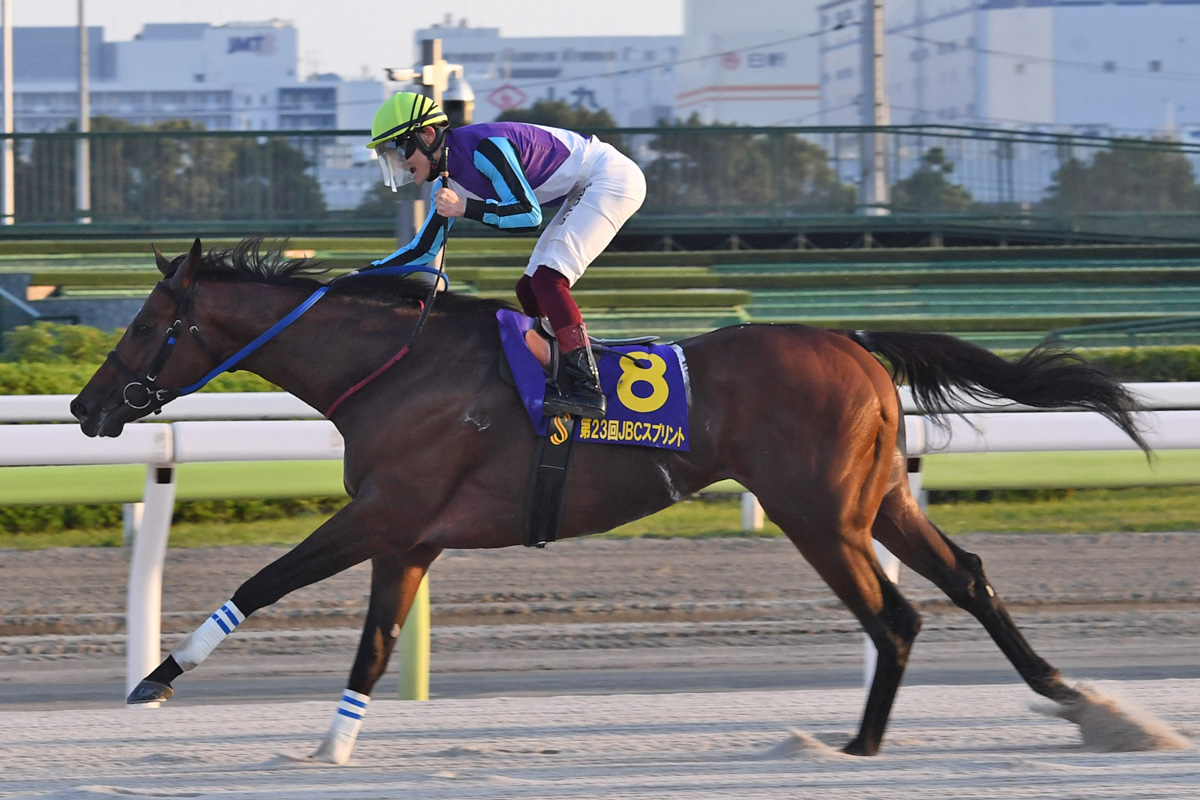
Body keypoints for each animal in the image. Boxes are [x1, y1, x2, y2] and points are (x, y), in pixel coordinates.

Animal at [70, 238, 1149, 765]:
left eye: (147, 324)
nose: (84, 407)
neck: (396, 366)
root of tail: (851, 338)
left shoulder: (384, 513)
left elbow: (263, 580)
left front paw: (155, 678)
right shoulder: (411, 538)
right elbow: (373, 646)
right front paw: (327, 748)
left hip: (817, 512)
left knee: (894, 615)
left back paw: (863, 744)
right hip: (879, 501)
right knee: (967, 576)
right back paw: (1081, 702)